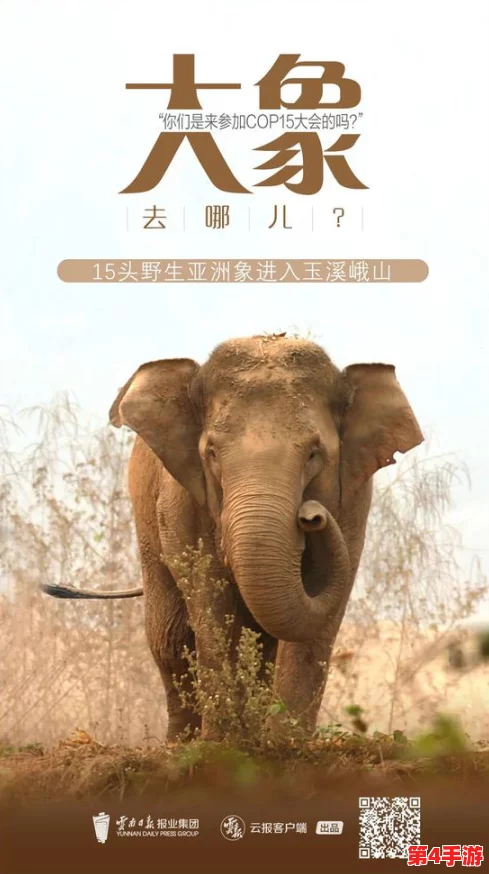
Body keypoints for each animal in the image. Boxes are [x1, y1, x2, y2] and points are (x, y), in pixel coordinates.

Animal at [42, 334, 423, 741]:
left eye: (314, 453)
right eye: (211, 452)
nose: (311, 515)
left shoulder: (352, 500)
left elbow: (318, 618)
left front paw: (285, 743)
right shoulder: (182, 500)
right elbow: (211, 603)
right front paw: (223, 743)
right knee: (169, 638)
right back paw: (180, 742)